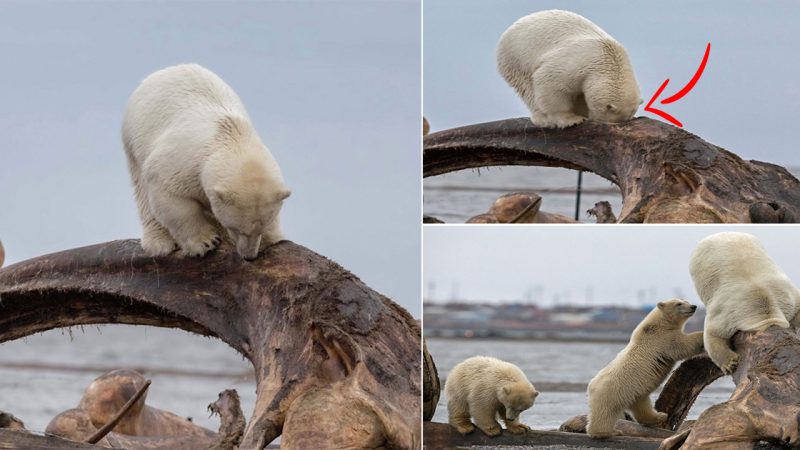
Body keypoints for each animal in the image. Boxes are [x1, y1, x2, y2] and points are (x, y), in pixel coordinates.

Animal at [122, 63, 290, 260]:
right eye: (237, 229)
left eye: (261, 229)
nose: (249, 256)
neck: (232, 137)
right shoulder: (181, 164)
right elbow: (173, 200)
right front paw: (205, 242)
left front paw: (274, 237)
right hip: (135, 142)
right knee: (143, 194)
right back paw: (159, 243)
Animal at [496, 9, 640, 128]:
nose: (595, 121)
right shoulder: (576, 63)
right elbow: (551, 81)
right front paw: (572, 119)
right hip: (516, 59)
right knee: (527, 88)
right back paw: (543, 119)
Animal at [584, 298, 704, 438]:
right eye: (678, 304)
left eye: (686, 301)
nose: (693, 306)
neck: (657, 323)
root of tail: (591, 386)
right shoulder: (662, 338)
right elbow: (682, 344)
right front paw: (703, 335)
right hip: (611, 392)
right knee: (605, 413)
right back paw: (607, 432)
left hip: (635, 393)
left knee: (642, 407)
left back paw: (660, 416)